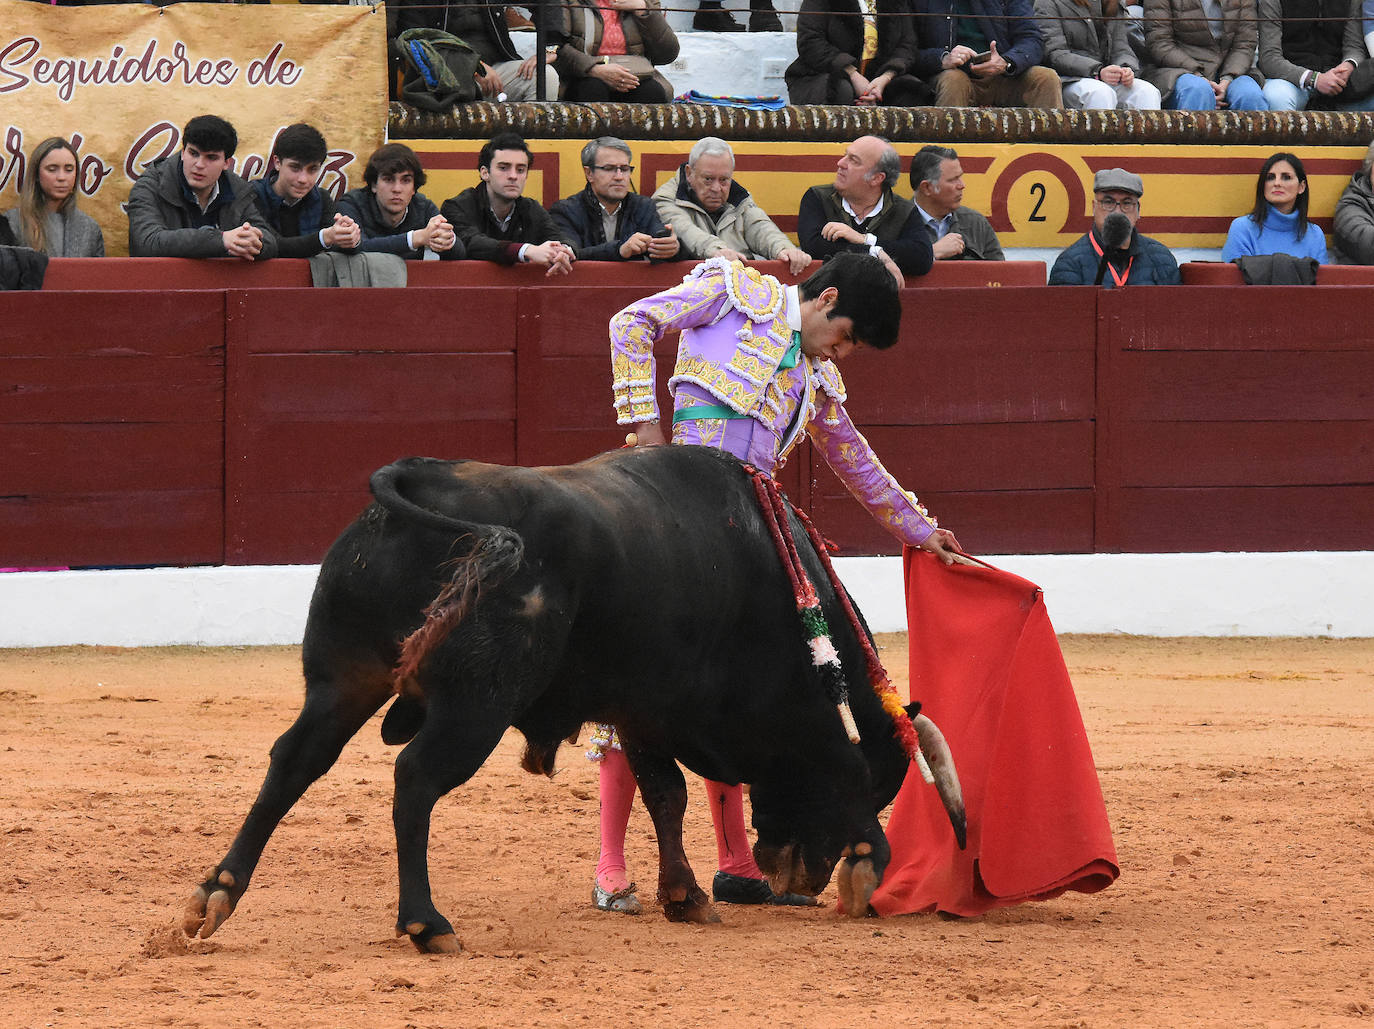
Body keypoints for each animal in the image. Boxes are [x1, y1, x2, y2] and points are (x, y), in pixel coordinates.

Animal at [182, 445, 967, 950]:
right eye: (880, 786)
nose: (795, 876)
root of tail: (421, 480)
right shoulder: (714, 708)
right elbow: (817, 766)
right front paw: (866, 859)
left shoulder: (643, 708)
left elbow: (665, 793)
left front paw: (685, 896)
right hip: (476, 705)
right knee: (415, 779)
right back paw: (427, 923)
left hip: (343, 680)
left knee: (294, 761)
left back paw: (212, 897)